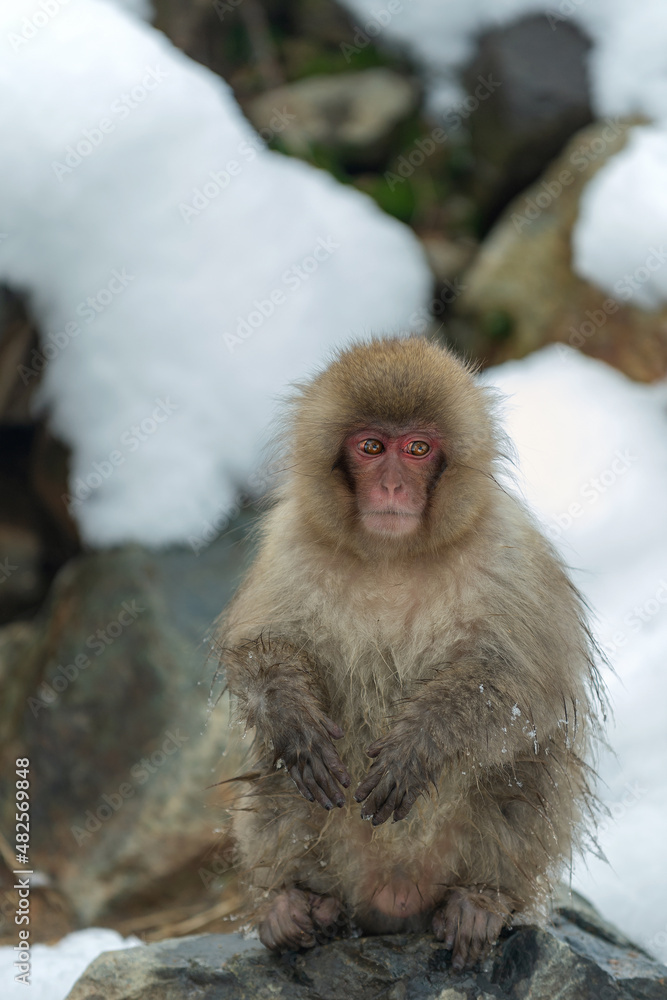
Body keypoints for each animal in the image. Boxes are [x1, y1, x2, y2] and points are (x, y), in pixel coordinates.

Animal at [216, 336, 603, 971]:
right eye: (372, 447)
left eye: (418, 449)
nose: (394, 487)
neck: (393, 555)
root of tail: (392, 898)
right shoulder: (289, 542)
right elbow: (261, 651)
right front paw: (292, 716)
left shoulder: (509, 548)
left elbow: (520, 684)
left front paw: (418, 745)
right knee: (279, 775)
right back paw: (292, 903)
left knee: (524, 767)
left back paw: (481, 902)